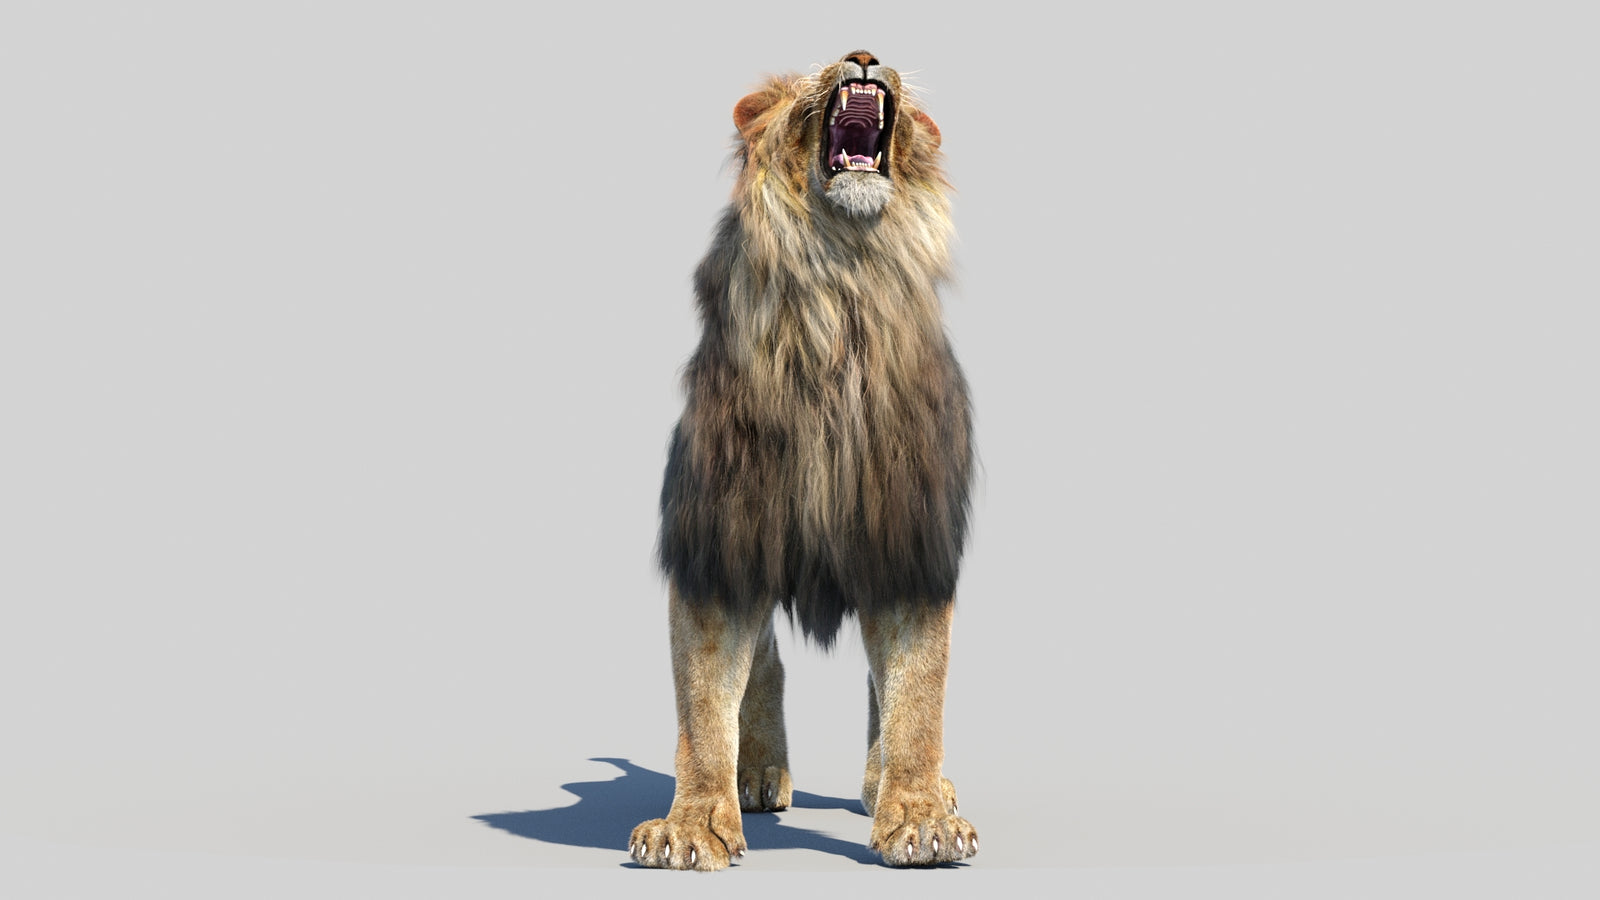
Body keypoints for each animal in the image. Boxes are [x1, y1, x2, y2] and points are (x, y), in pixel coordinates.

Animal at [629, 51, 976, 870]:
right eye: (801, 86)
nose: (864, 55)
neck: (841, 280)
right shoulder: (721, 536)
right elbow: (703, 698)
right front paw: (693, 823)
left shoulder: (906, 535)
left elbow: (917, 691)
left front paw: (919, 817)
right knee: (765, 662)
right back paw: (756, 774)